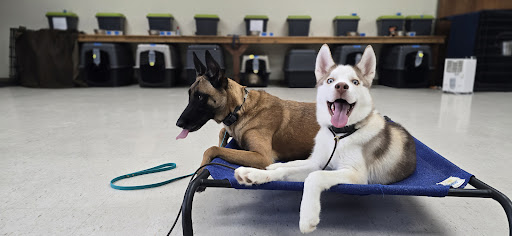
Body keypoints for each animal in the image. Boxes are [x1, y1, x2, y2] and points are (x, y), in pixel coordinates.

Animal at [177, 51, 320, 170]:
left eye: (200, 97)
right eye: (190, 95)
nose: (178, 124)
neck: (239, 109)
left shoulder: (262, 157)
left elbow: (212, 149)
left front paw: (201, 168)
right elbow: (222, 132)